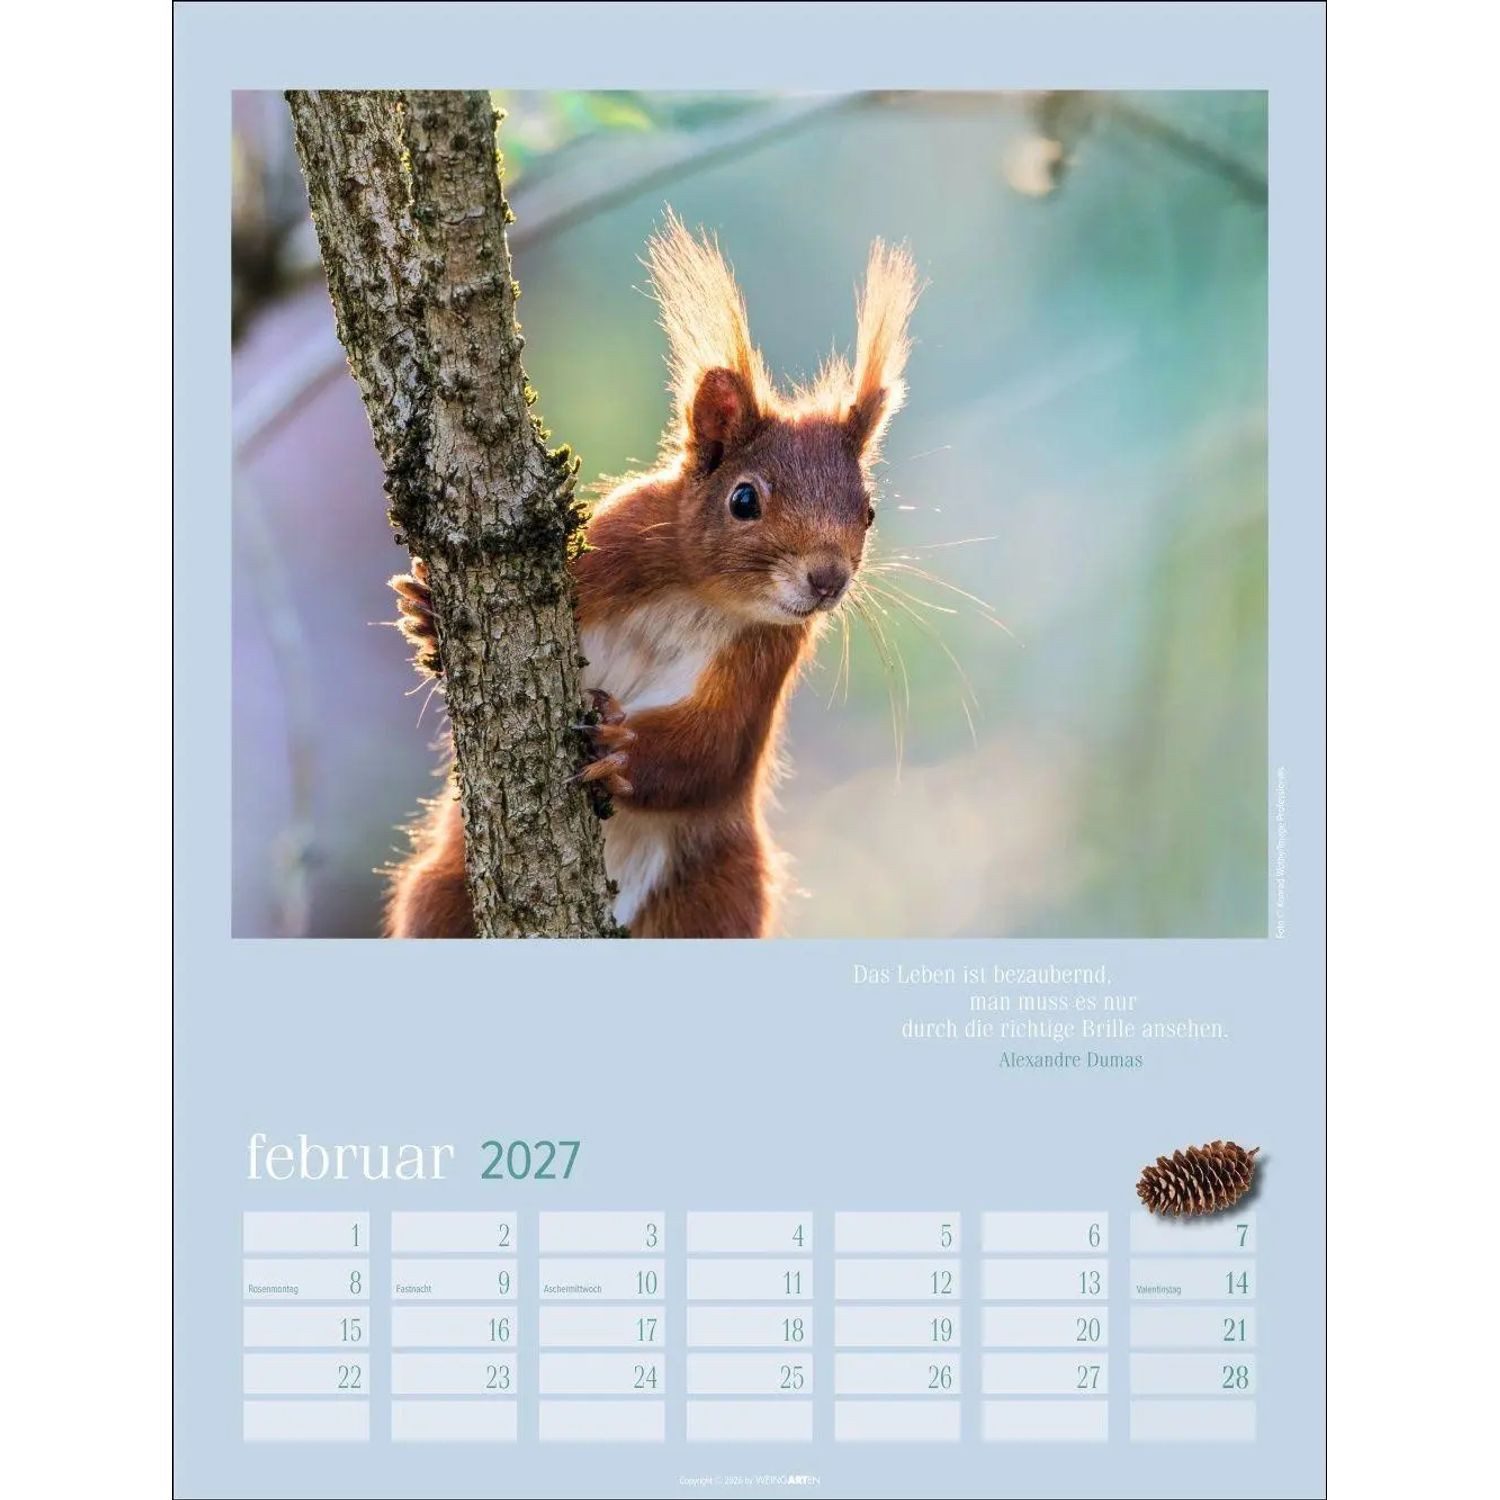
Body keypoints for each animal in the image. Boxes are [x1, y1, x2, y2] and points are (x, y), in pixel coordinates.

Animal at [384, 213, 920, 939]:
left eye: (868, 511)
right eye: (743, 499)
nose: (828, 580)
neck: (702, 596)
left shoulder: (765, 658)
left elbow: (716, 749)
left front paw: (621, 748)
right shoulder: (605, 553)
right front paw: (425, 614)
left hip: (716, 898)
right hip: (443, 889)